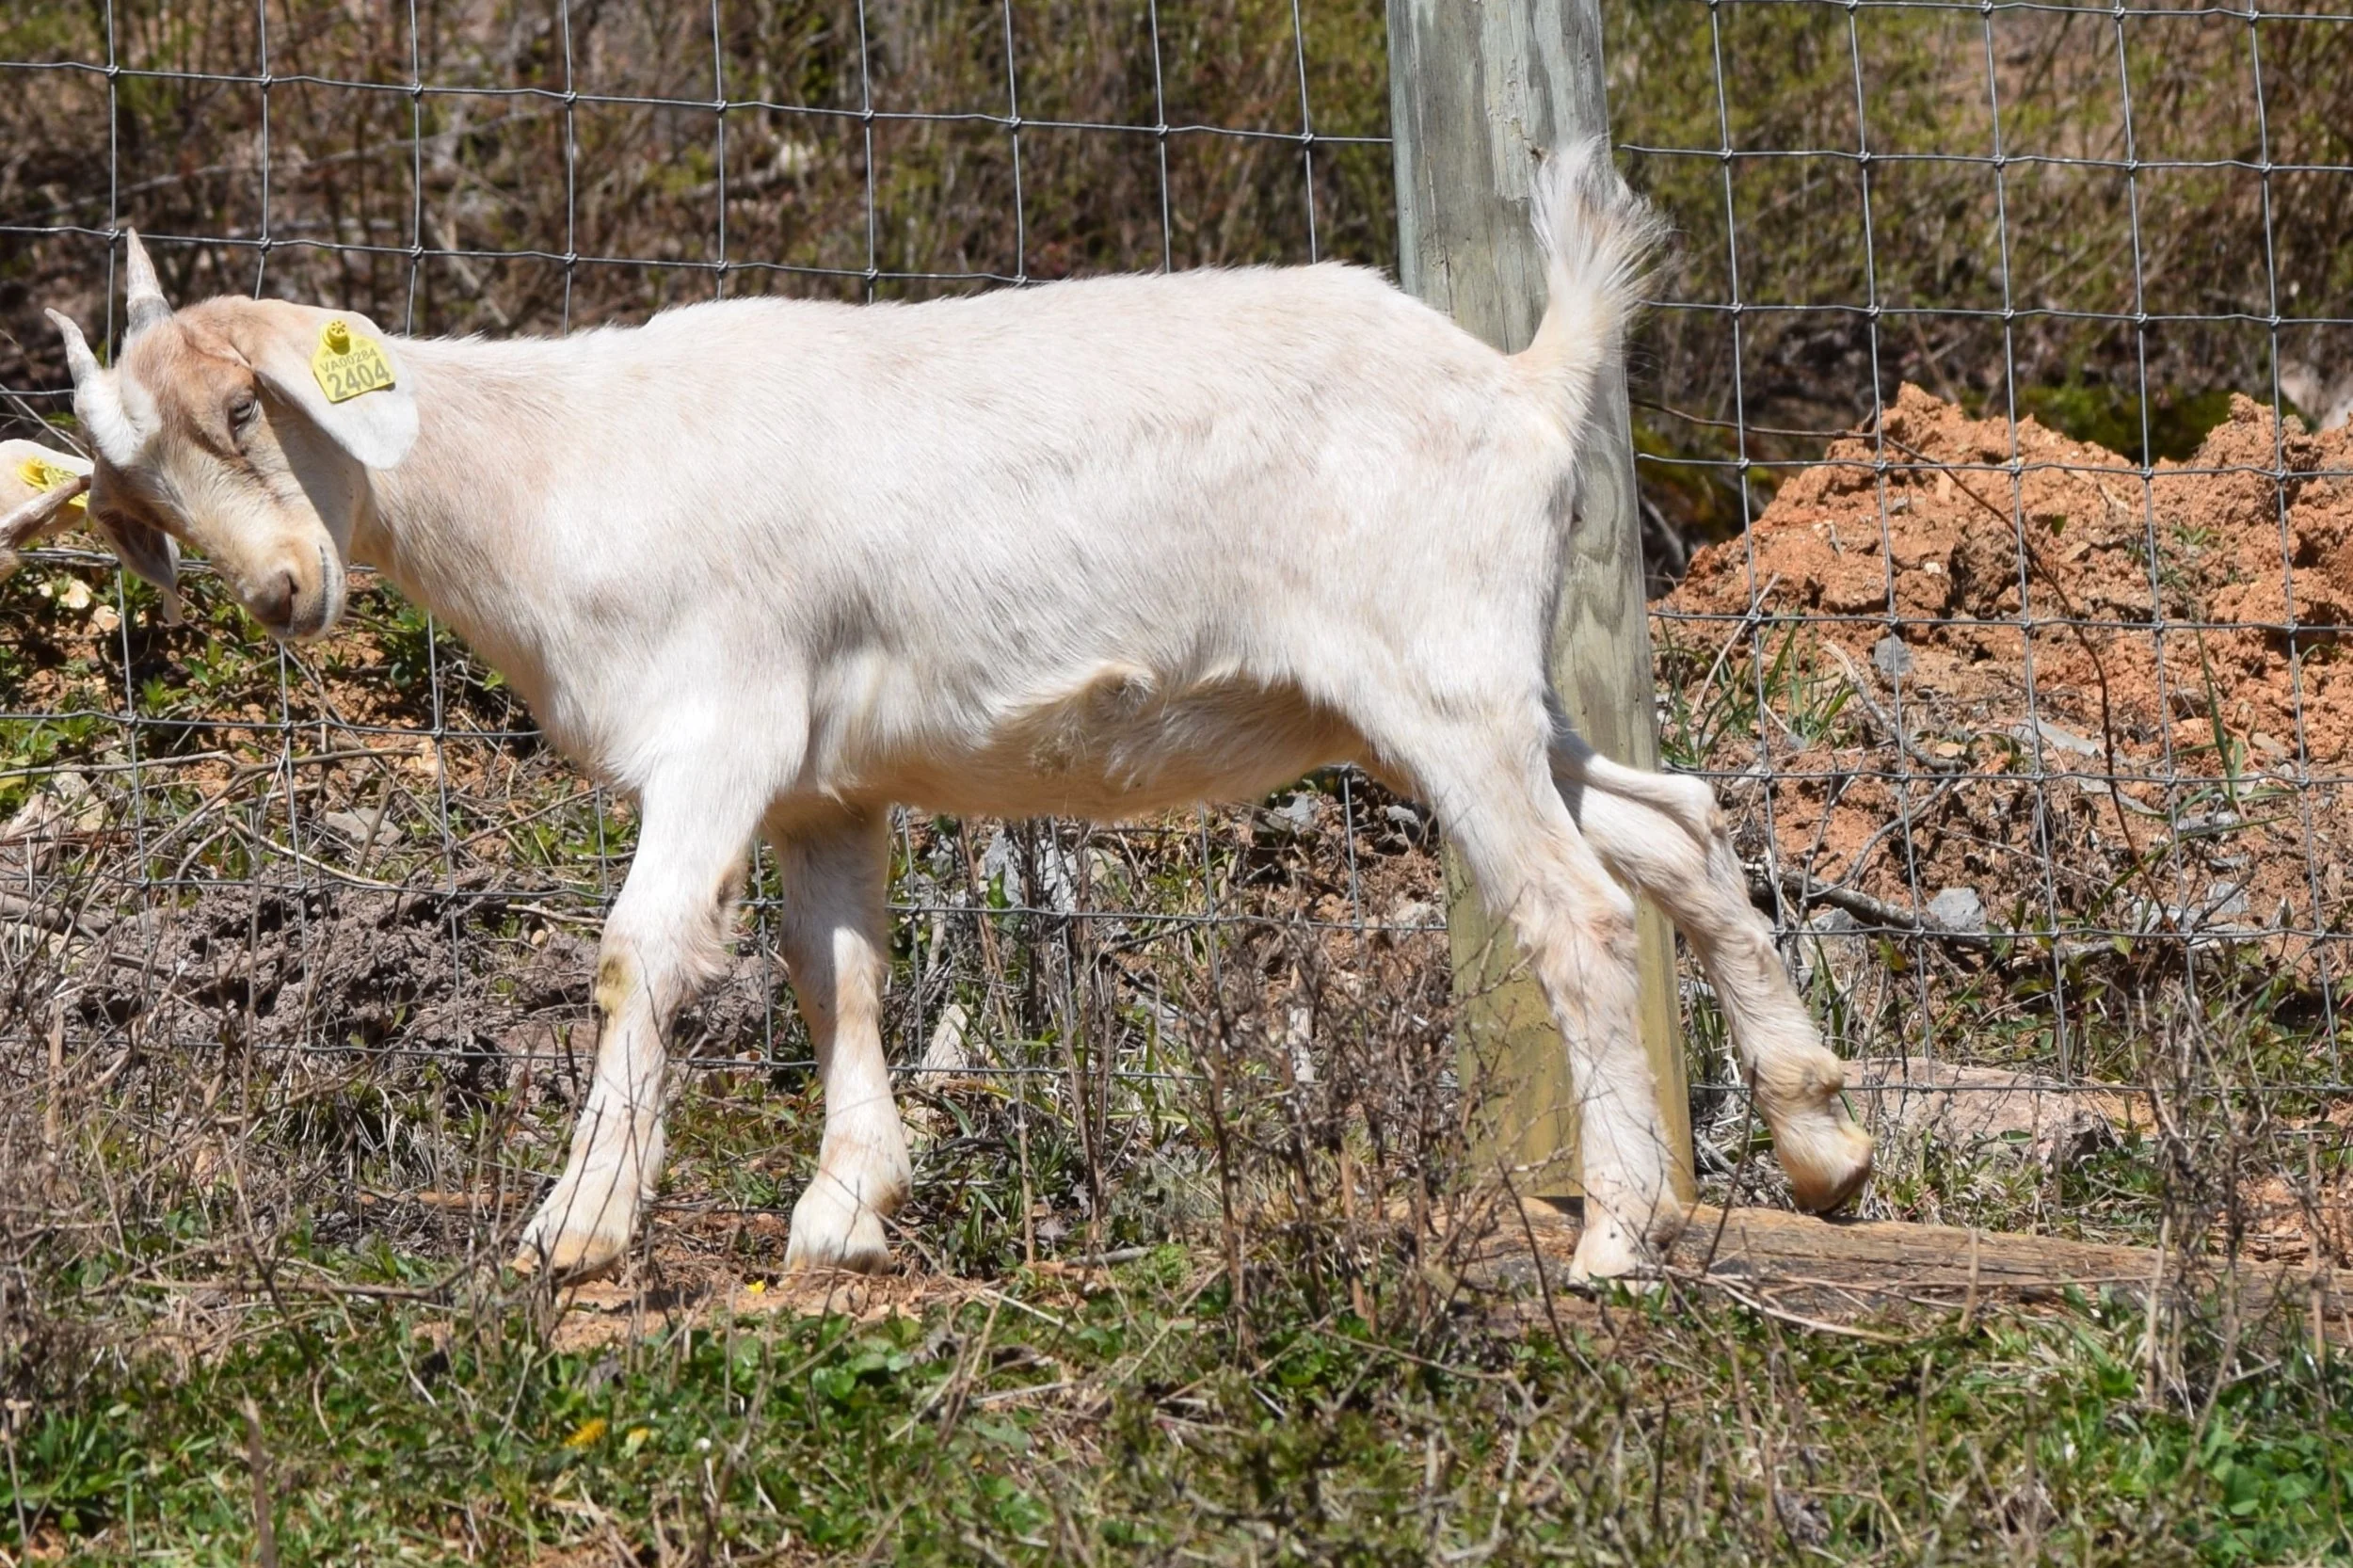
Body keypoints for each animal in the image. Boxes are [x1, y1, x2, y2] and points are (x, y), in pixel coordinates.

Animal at [45, 141, 1872, 1283]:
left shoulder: (719, 727)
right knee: (1671, 825)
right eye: (132, 499)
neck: (552, 470)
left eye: (245, 410)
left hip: (1439, 680)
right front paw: (846, 1209)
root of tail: (1525, 379)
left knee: (1575, 907)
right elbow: (835, 968)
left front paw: (578, 1227)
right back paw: (1822, 1142)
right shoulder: (822, 778)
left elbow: (643, 952)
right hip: (1470, 686)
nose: (282, 593)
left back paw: (1622, 1236)